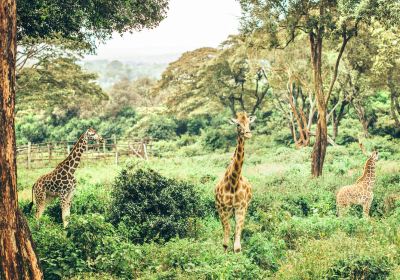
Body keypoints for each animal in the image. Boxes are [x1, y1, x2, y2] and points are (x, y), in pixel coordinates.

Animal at [216, 112, 256, 254]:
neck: (234, 181)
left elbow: (237, 247)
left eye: (249, 123)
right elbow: (225, 243)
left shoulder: (241, 208)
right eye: (238, 124)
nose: (248, 134)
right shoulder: (224, 209)